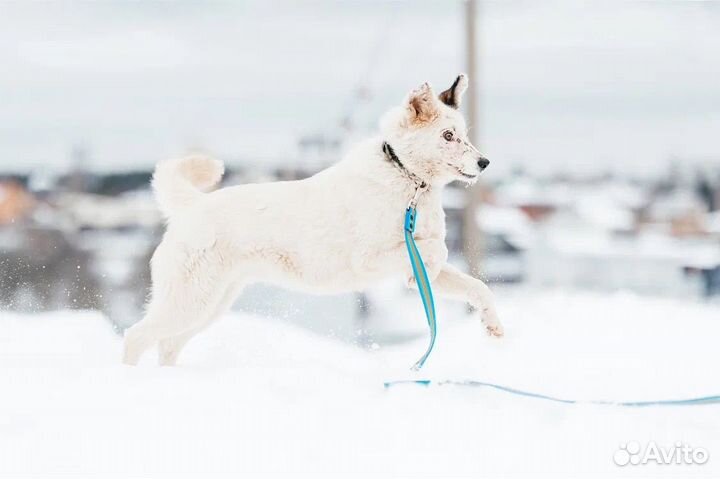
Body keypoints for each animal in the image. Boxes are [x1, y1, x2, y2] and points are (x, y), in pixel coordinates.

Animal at [124, 76, 504, 368]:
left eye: (463, 134)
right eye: (448, 136)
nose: (485, 162)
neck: (406, 177)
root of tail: (194, 205)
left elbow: (476, 287)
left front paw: (493, 325)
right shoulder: (370, 259)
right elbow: (436, 248)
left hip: (210, 304)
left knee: (166, 345)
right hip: (189, 302)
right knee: (134, 337)